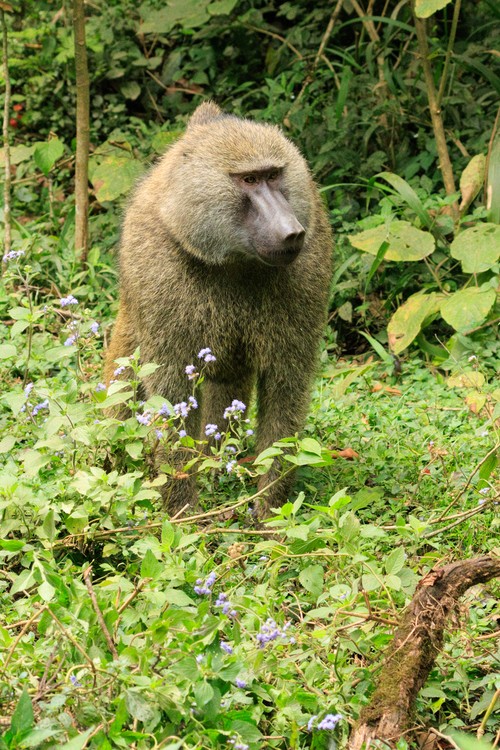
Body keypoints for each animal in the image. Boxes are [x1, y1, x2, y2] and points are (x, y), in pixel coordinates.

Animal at [104, 101, 333, 518]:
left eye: (274, 175)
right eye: (249, 180)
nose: (292, 232)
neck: (234, 261)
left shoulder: (307, 271)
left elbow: (285, 385)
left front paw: (269, 507)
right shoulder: (160, 276)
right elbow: (172, 392)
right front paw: (182, 510)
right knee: (123, 381)